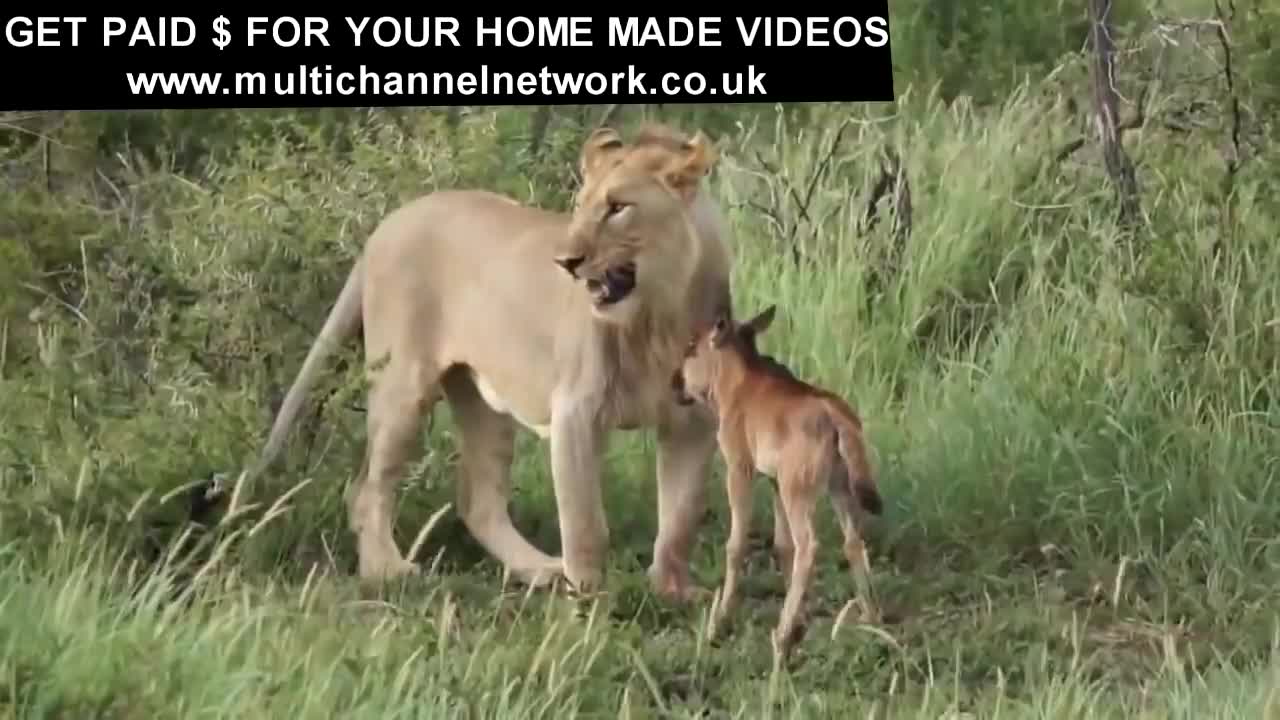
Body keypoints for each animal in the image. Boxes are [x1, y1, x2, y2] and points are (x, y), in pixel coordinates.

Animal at [240, 120, 737, 597]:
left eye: (618, 207)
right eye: (581, 206)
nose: (566, 262)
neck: (659, 317)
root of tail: (388, 222)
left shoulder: (694, 422)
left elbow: (680, 520)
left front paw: (671, 592)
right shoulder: (576, 411)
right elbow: (585, 522)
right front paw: (589, 598)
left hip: (484, 400)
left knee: (478, 500)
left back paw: (539, 570)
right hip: (403, 385)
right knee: (367, 488)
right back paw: (388, 572)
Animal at [670, 302, 880, 661]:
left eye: (691, 348)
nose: (674, 383)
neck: (738, 383)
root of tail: (836, 417)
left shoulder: (740, 468)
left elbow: (737, 544)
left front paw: (720, 621)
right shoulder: (773, 481)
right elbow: (782, 545)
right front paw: (801, 617)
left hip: (799, 489)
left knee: (809, 545)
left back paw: (782, 637)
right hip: (836, 485)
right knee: (852, 541)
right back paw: (868, 616)